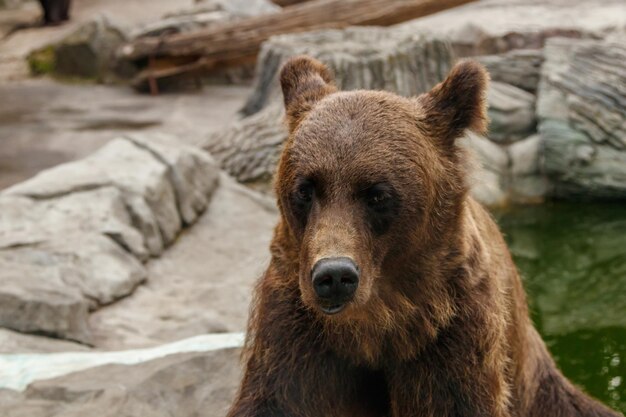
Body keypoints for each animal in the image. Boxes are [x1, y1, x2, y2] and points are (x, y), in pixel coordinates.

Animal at [224, 56, 620, 416]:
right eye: (305, 189)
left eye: (377, 194)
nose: (334, 276)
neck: (375, 325)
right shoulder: (295, 328)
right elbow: (278, 399)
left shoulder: (450, 333)